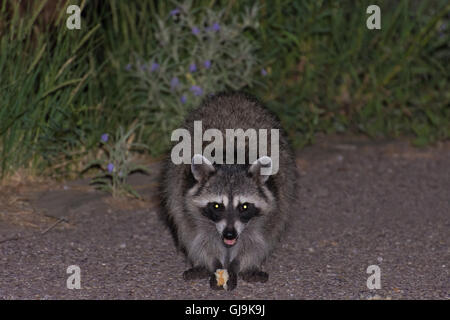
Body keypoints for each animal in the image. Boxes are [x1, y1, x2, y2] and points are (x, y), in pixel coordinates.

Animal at [160, 92, 298, 290]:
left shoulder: (273, 205)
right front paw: (213, 263)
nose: (229, 234)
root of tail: (232, 94)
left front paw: (238, 265)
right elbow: (200, 239)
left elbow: (255, 242)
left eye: (244, 207)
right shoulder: (184, 200)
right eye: (217, 206)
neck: (231, 161)